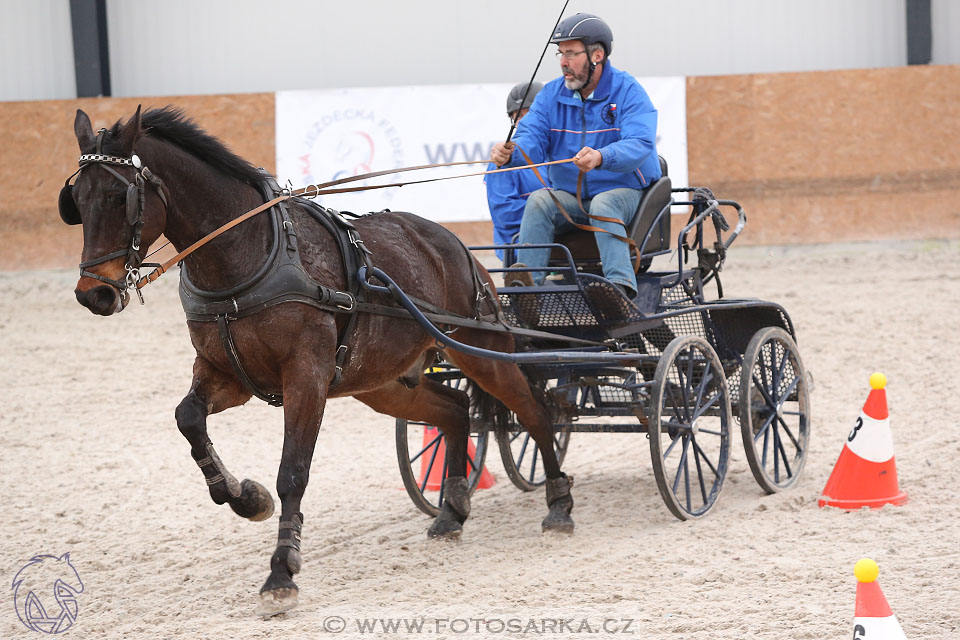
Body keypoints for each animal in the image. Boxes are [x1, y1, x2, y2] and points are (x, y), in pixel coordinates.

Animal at [62, 106, 576, 616]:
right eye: (77, 202)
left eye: (119, 197)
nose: (93, 294)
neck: (247, 253)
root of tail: (450, 241)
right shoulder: (226, 373)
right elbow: (188, 418)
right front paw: (245, 497)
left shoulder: (305, 376)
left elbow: (293, 472)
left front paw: (281, 573)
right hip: (382, 383)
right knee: (455, 410)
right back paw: (451, 512)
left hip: (480, 350)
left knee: (534, 412)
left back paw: (558, 503)